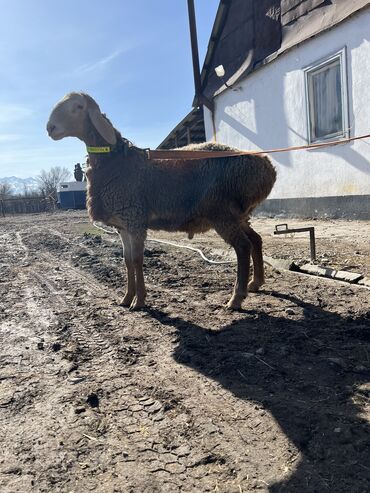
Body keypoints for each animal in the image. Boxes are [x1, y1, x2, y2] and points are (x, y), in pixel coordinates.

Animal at [47, 91, 276, 308]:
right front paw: (126, 297)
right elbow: (127, 261)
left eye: (78, 106)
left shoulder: (135, 219)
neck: (116, 163)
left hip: (222, 211)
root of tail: (266, 165)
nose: (50, 128)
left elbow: (137, 260)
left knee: (243, 247)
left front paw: (139, 301)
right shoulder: (123, 225)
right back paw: (255, 283)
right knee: (255, 239)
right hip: (238, 214)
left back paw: (236, 298)